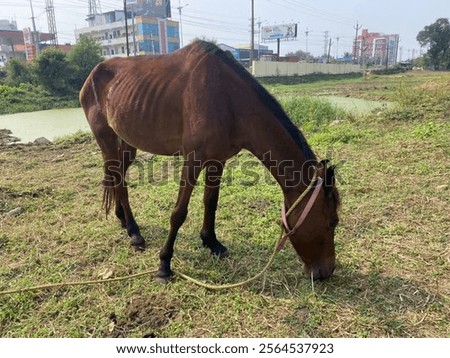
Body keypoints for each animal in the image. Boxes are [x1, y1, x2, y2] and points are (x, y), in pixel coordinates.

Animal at [81, 41, 340, 282]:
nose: (326, 272)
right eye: (332, 223)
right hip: (106, 138)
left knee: (118, 177)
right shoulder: (193, 160)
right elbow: (179, 213)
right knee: (117, 177)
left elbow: (211, 202)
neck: (228, 101)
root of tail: (93, 73)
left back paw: (123, 219)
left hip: (127, 142)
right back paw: (135, 233)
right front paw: (164, 264)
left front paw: (211, 242)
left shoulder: (217, 160)